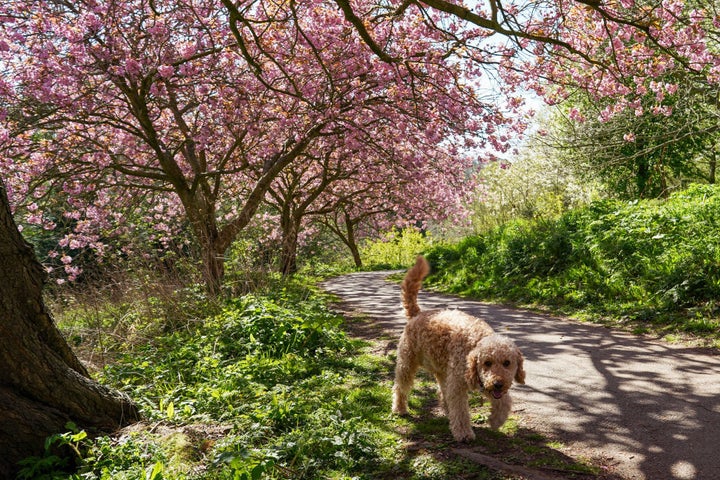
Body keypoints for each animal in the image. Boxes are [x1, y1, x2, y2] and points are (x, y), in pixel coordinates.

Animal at [390, 256, 524, 440]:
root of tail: (418, 314)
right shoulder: (458, 385)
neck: (475, 342)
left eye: (507, 363)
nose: (498, 383)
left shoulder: (484, 384)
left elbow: (504, 401)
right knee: (400, 387)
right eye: (487, 363)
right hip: (407, 364)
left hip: (442, 370)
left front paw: (496, 420)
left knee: (442, 392)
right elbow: (460, 411)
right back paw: (399, 408)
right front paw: (464, 433)